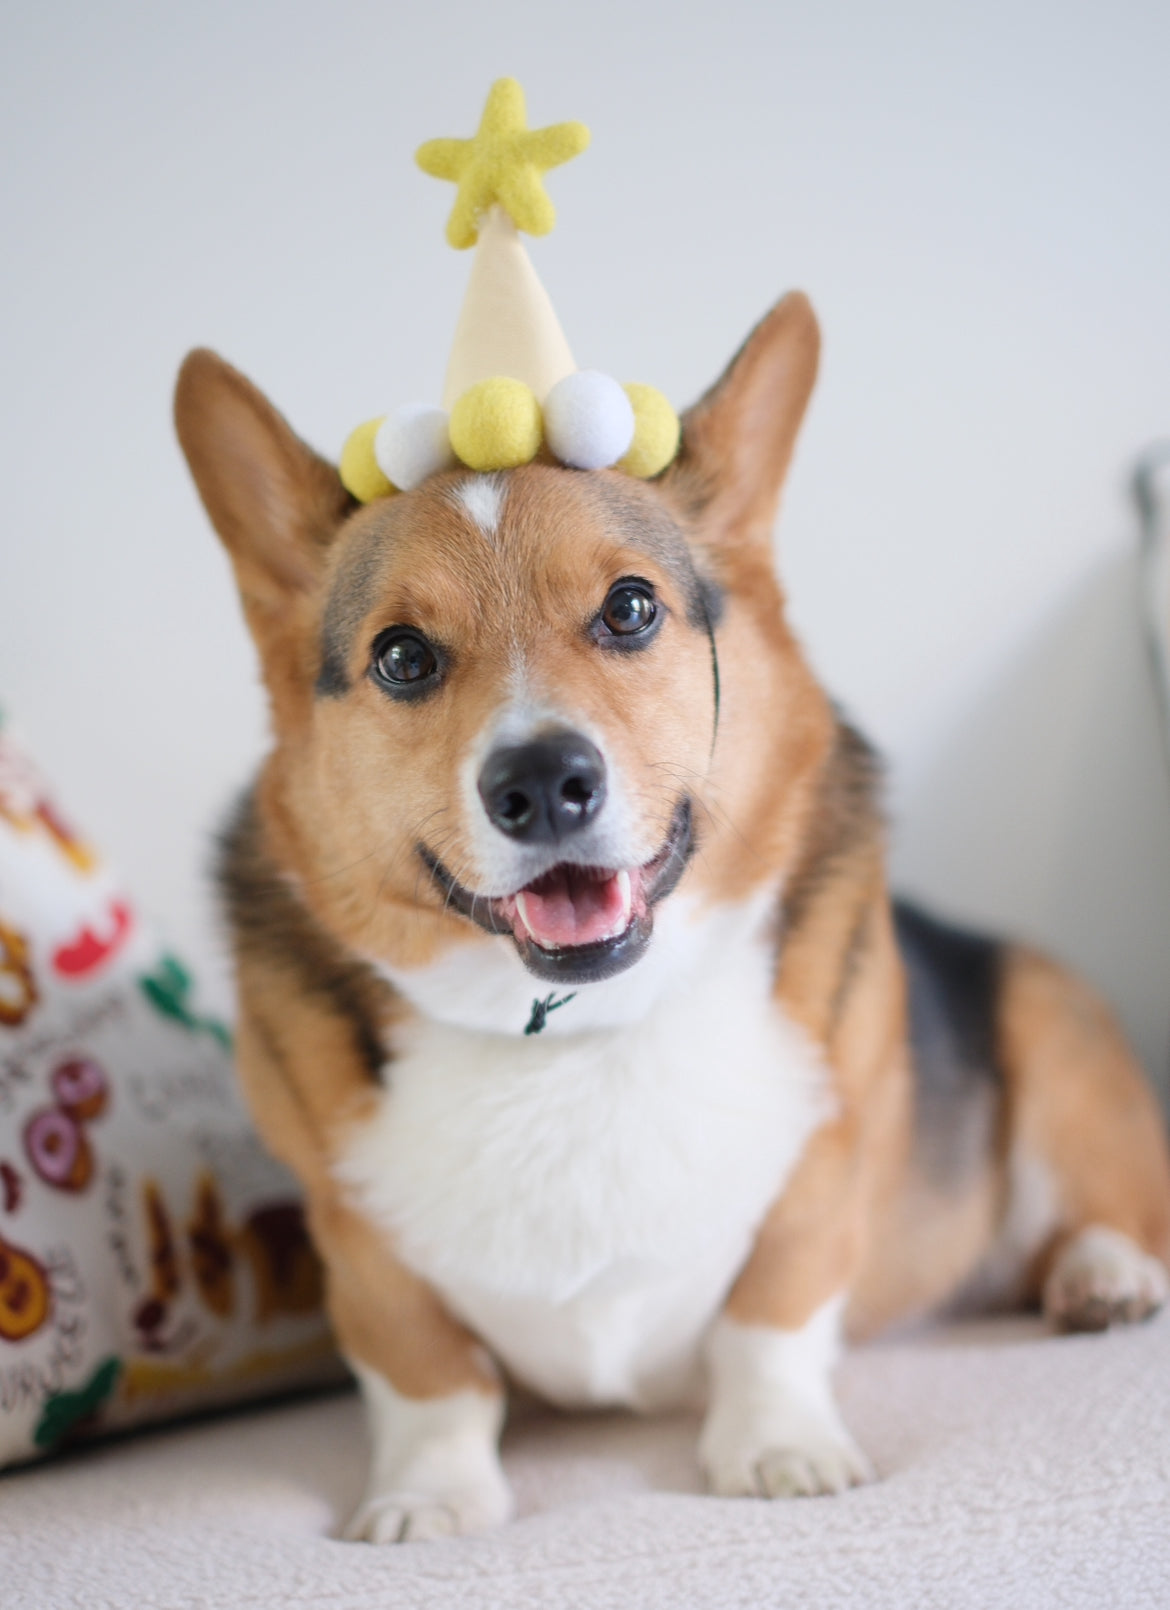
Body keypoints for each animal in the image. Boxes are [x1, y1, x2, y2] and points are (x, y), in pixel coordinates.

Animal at [176, 296, 1170, 1539]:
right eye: (401, 656)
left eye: (631, 607)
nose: (542, 782)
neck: (581, 1031)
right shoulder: (354, 1241)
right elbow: (428, 1374)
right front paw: (427, 1497)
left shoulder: (823, 1161)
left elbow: (769, 1319)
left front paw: (783, 1449)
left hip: (1047, 1020)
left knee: (1109, 1209)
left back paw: (1104, 1275)